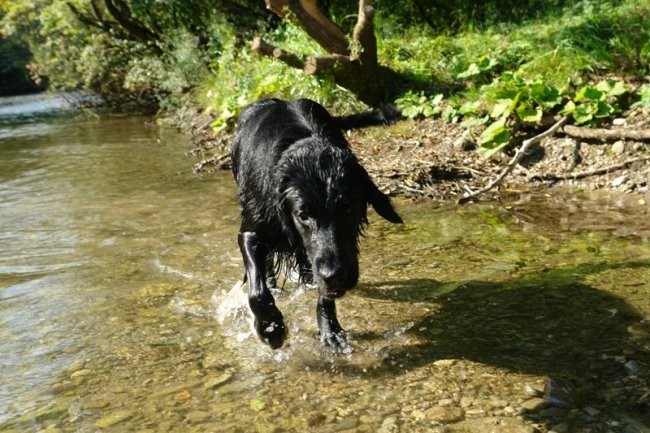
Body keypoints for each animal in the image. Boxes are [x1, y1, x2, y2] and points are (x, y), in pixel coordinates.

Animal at [228, 98, 400, 352]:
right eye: (303, 215)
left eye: (348, 209)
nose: (336, 275)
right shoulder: (251, 230)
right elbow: (257, 291)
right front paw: (271, 328)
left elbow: (324, 288)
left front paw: (331, 330)